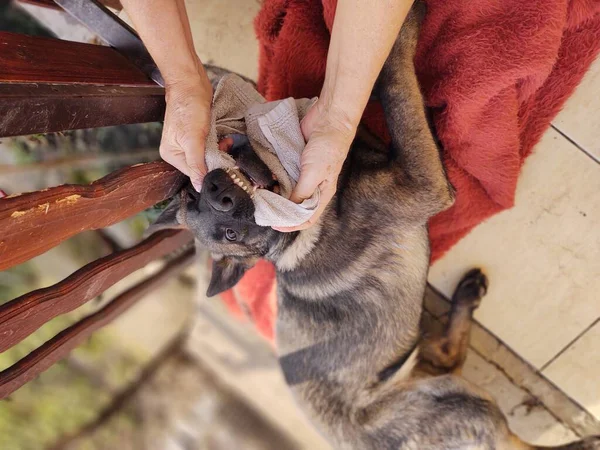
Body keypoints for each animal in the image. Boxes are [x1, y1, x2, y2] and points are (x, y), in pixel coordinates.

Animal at [151, 3, 600, 450]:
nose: (216, 191)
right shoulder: (424, 182)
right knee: (454, 362)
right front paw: (404, 30)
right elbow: (398, 88)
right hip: (458, 401)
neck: (293, 235)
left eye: (194, 191)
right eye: (230, 235)